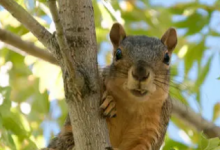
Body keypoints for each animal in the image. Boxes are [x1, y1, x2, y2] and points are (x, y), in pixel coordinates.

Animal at [47, 22, 178, 150]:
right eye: (118, 53)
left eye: (167, 58)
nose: (140, 73)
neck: (132, 106)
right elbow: (67, 135)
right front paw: (110, 102)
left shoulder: (154, 129)